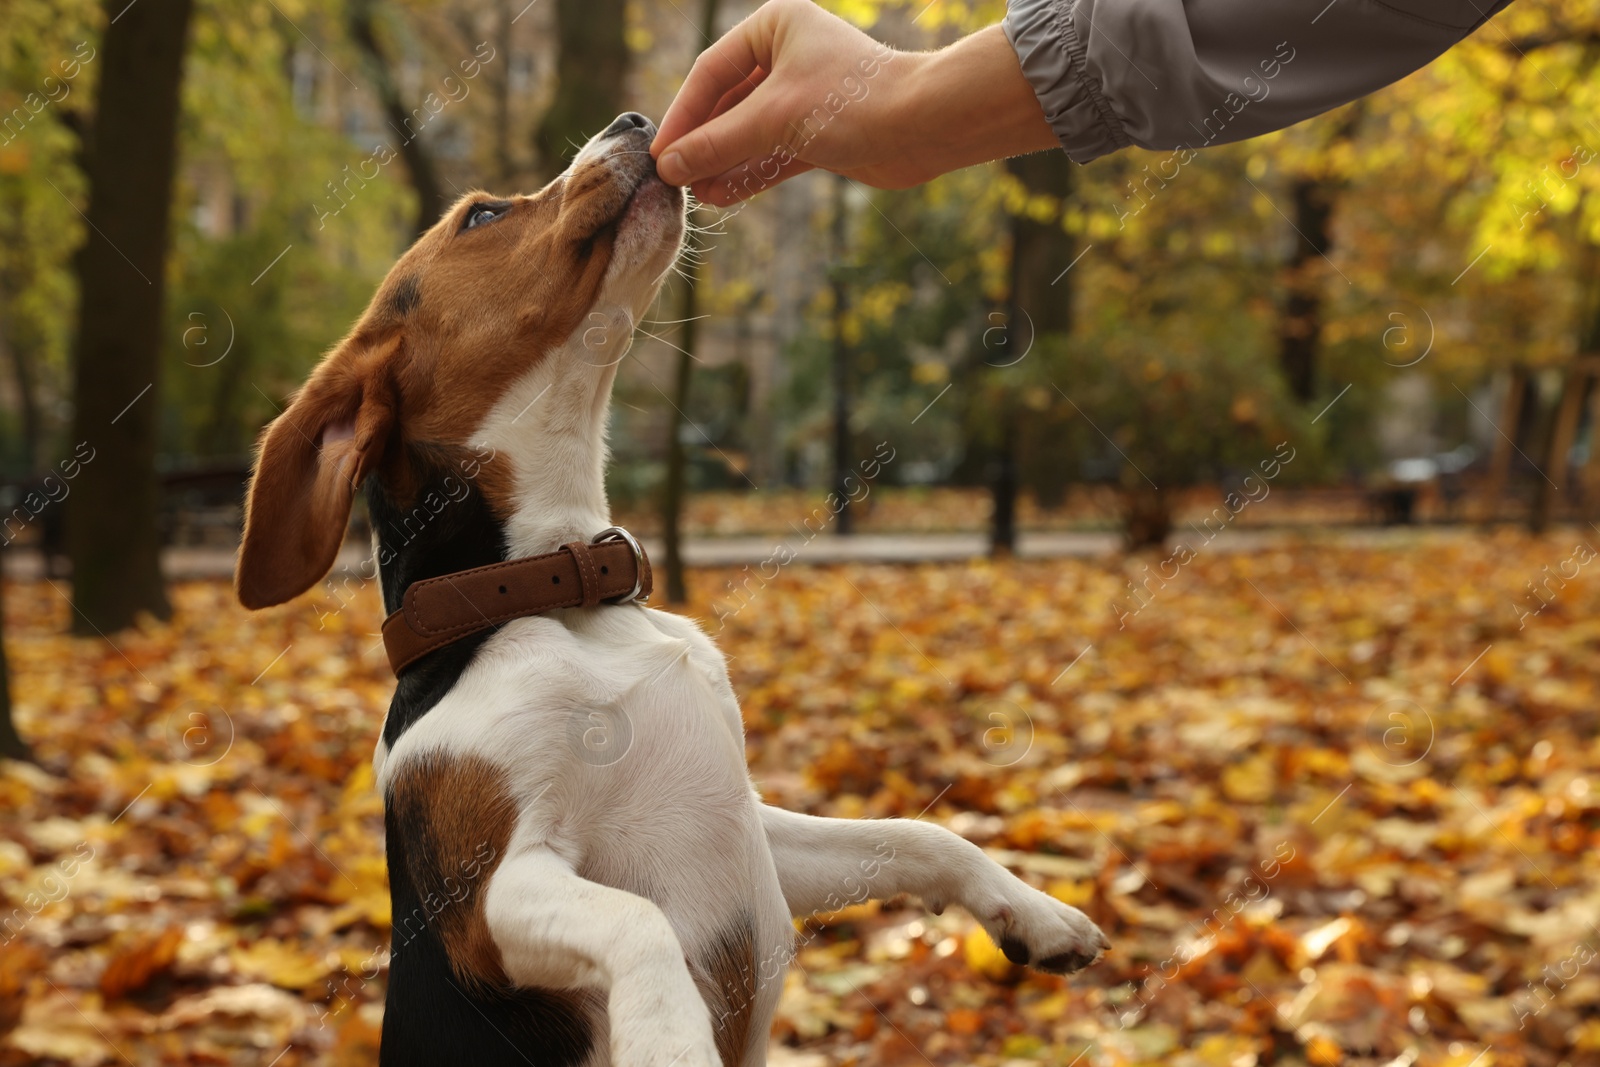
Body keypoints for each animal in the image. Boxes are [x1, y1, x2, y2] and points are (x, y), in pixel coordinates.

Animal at [236, 115, 1107, 1067]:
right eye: (483, 216)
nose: (632, 122)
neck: (551, 594)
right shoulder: (487, 898)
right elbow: (639, 920)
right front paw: (670, 1034)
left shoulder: (756, 834)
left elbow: (916, 831)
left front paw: (1034, 911)